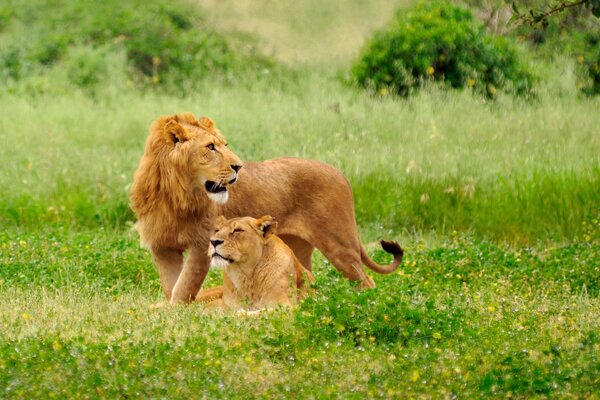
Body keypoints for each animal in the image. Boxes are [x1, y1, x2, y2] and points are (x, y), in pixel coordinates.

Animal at [131, 111, 404, 304]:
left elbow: (184, 288)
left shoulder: (201, 245)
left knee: (367, 281)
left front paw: (176, 313)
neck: (174, 195)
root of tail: (339, 173)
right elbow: (172, 286)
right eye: (210, 147)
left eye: (225, 144)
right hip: (298, 247)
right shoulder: (162, 246)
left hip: (339, 244)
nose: (239, 166)